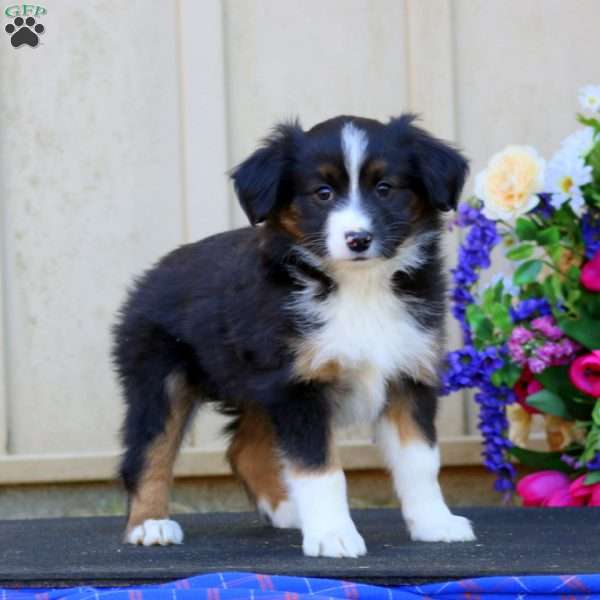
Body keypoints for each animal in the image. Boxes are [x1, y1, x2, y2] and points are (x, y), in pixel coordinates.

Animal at [112, 115, 476, 560]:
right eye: (322, 193)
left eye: (384, 188)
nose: (358, 239)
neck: (359, 287)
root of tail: (150, 276)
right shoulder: (299, 386)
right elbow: (321, 469)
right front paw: (334, 535)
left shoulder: (407, 375)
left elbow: (420, 462)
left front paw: (435, 523)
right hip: (160, 379)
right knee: (148, 451)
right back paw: (150, 524)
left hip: (255, 387)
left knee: (244, 449)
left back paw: (288, 511)